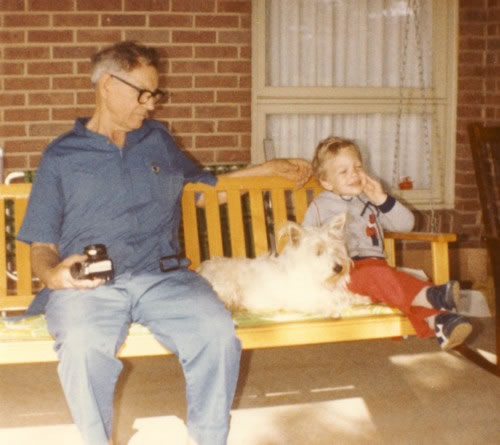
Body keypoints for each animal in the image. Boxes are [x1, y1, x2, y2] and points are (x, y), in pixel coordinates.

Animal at [197, 213, 370, 318]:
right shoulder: (303, 300)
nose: (339, 268)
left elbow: (345, 296)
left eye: (335, 249)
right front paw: (334, 309)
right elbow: (328, 302)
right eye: (318, 252)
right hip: (228, 289)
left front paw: (361, 299)